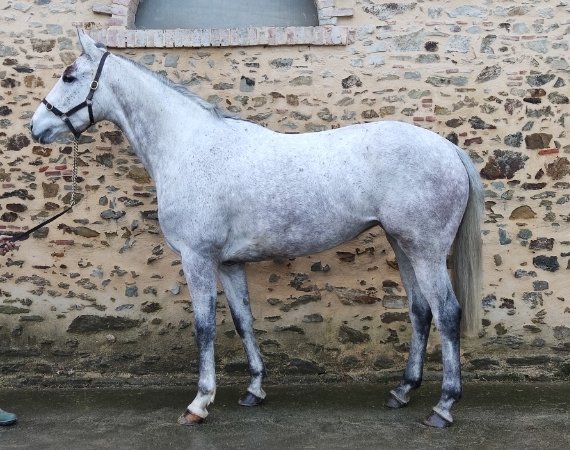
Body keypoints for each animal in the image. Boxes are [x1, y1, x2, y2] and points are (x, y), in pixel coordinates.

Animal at [30, 31, 483, 429]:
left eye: (69, 76)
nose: (36, 128)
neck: (189, 147)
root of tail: (448, 149)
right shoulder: (229, 263)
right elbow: (243, 319)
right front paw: (254, 389)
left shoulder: (198, 258)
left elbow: (204, 327)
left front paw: (199, 404)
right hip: (402, 245)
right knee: (421, 311)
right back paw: (402, 392)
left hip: (425, 250)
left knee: (446, 312)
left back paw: (443, 407)